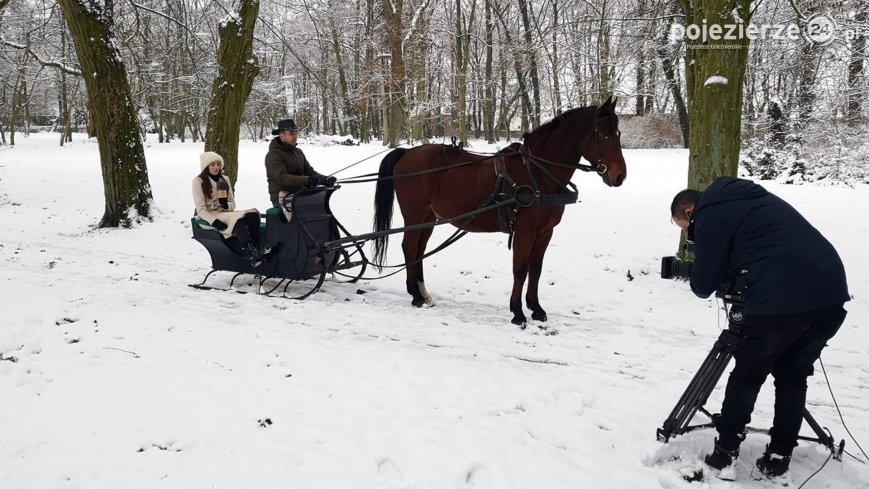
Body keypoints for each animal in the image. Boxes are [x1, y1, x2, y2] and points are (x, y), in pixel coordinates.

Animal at [370, 95, 628, 324]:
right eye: (605, 135)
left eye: (618, 134)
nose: (620, 176)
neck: (538, 172)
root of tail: (408, 152)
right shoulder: (524, 230)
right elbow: (520, 269)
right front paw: (518, 312)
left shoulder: (545, 232)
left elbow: (536, 269)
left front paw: (536, 308)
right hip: (414, 215)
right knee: (409, 247)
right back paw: (414, 294)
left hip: (429, 217)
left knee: (419, 250)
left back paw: (422, 293)